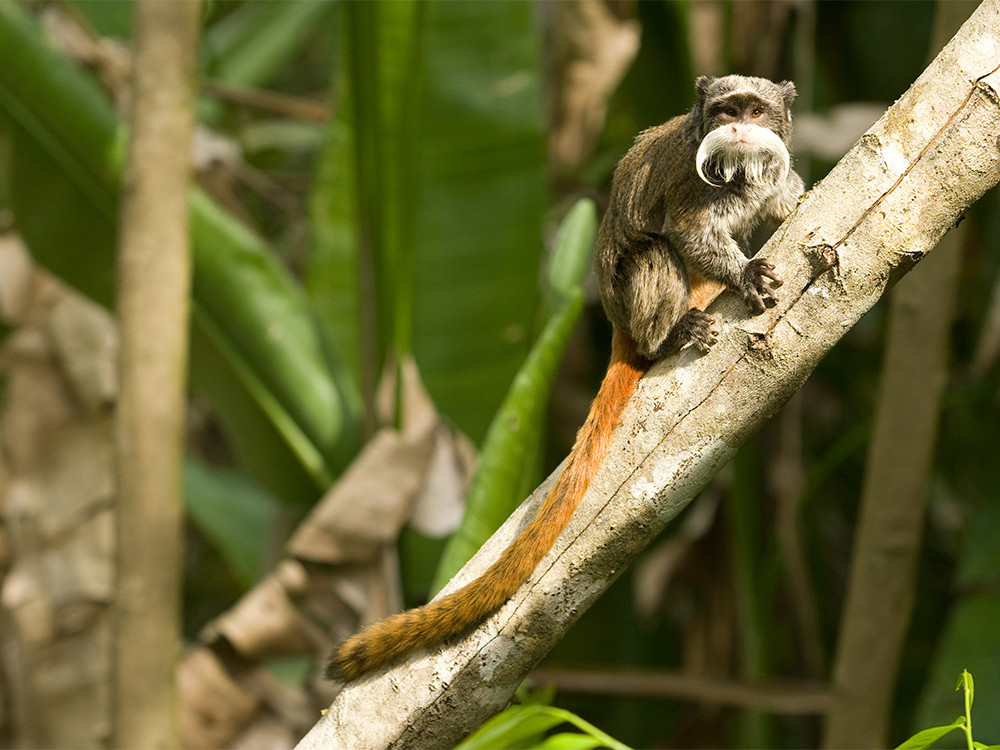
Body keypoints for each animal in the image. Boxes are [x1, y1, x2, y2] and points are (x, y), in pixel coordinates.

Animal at [328, 75, 804, 680]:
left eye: (756, 112)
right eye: (727, 112)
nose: (740, 129)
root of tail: (619, 323)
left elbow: (786, 200)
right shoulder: (695, 191)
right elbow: (688, 234)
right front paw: (743, 274)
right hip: (633, 301)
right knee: (655, 252)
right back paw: (669, 336)